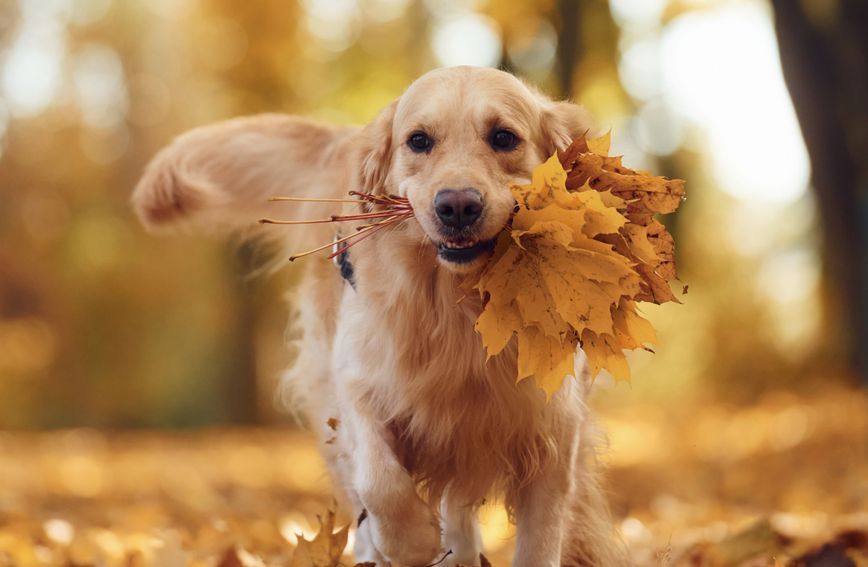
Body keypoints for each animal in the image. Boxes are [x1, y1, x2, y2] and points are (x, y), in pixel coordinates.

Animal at [132, 66, 628, 567]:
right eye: (419, 141)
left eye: (504, 137)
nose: (457, 206)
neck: (458, 310)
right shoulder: (358, 380)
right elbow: (380, 481)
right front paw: (411, 541)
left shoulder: (553, 432)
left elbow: (539, 542)